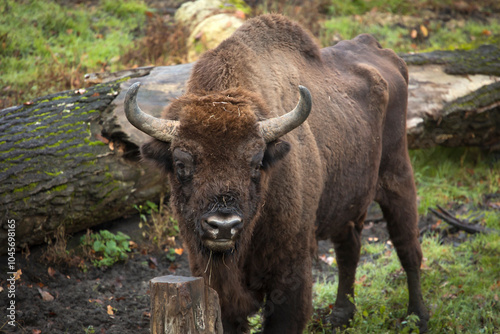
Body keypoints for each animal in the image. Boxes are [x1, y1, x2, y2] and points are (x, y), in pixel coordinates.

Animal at [126, 14, 430, 332]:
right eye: (181, 163)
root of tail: (381, 50)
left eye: (256, 161)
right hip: (348, 201)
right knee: (350, 249)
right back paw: (341, 315)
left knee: (408, 248)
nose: (223, 226)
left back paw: (418, 316)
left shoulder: (290, 275)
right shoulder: (212, 281)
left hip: (398, 176)